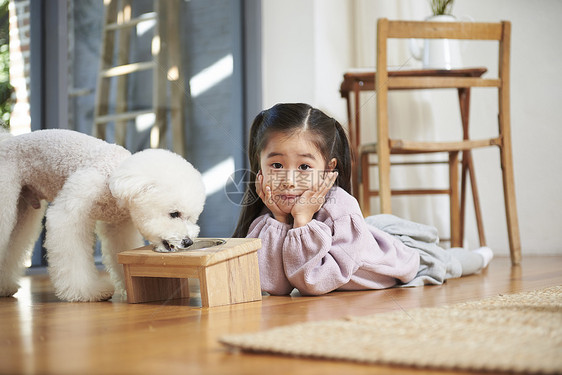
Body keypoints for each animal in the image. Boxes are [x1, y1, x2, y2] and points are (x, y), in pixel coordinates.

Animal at [0, 129, 206, 302]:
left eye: (192, 218)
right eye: (174, 214)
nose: (188, 242)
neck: (114, 179)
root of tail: (6, 143)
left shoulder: (120, 226)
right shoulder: (69, 215)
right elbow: (73, 255)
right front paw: (86, 292)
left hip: (22, 211)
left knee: (12, 246)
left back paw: (5, 286)